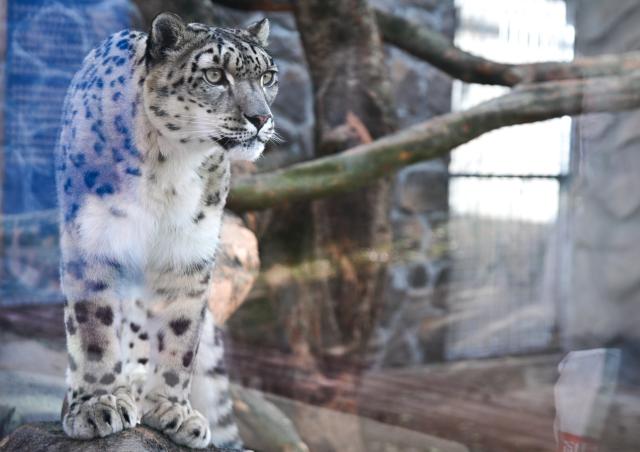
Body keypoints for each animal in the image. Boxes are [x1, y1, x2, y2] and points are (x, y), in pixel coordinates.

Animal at [54, 11, 277, 449]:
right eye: (214, 75)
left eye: (268, 76)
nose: (261, 118)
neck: (169, 167)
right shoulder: (94, 241)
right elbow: (94, 329)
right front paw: (99, 405)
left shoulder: (189, 252)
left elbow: (181, 335)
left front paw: (173, 410)